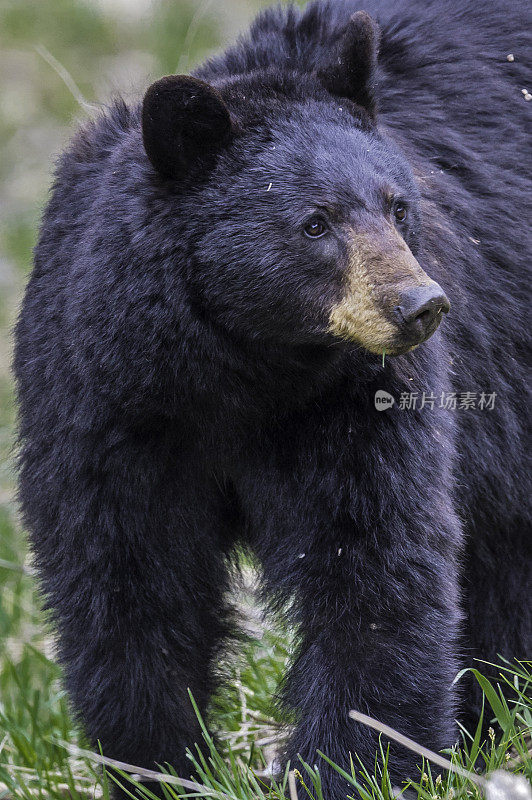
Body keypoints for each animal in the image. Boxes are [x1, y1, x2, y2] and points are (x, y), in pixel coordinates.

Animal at [13, 0, 532, 796]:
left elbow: (372, 560)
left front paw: (350, 766)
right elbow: (125, 578)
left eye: (398, 207)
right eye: (315, 223)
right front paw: (160, 763)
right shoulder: (100, 401)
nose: (421, 306)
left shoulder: (358, 401)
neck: (239, 372)